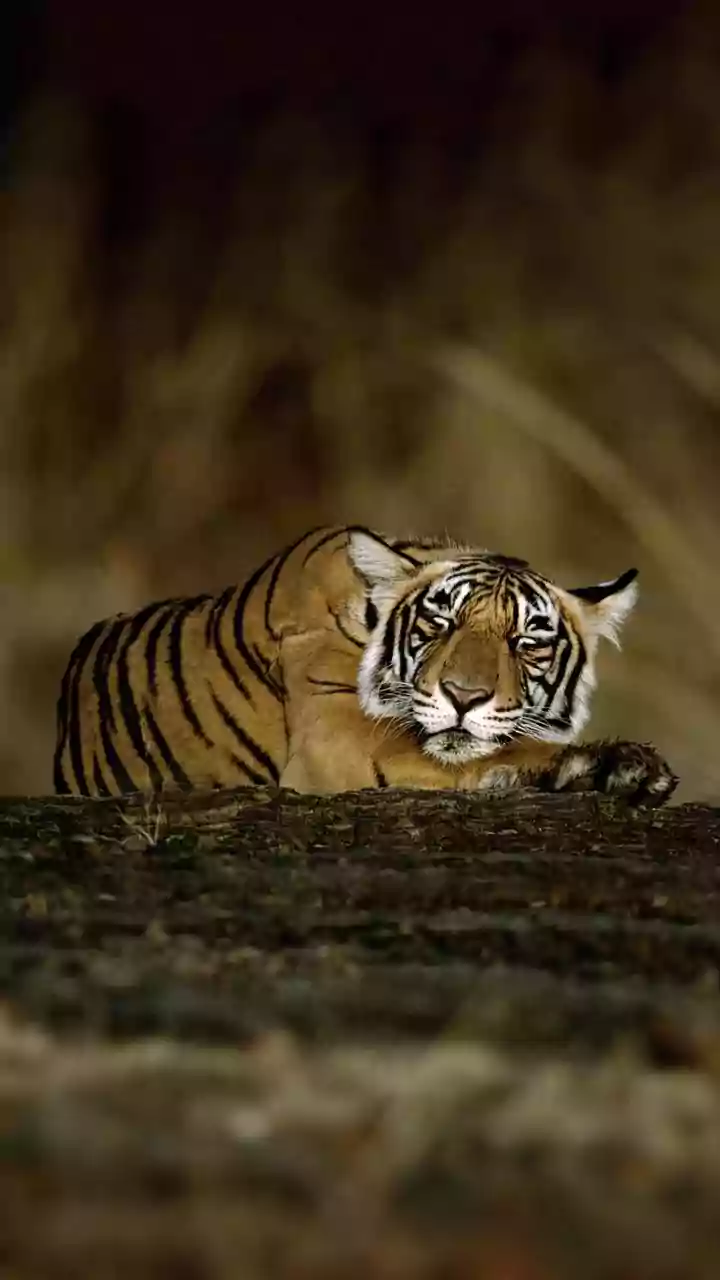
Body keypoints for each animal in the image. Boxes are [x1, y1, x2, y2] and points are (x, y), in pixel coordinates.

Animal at [53, 524, 677, 804]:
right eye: (440, 622)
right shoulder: (343, 743)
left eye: (527, 642)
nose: (463, 697)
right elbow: (502, 752)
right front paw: (616, 765)